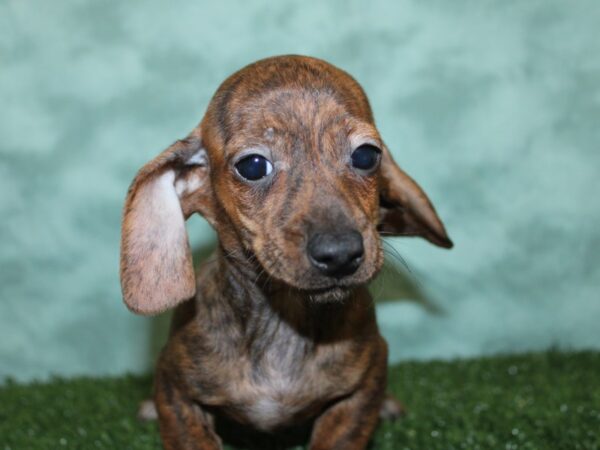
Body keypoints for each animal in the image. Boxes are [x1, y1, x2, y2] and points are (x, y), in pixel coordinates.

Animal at [119, 54, 452, 448]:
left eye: (367, 156)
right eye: (252, 166)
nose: (340, 254)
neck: (284, 320)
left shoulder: (362, 389)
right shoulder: (176, 391)